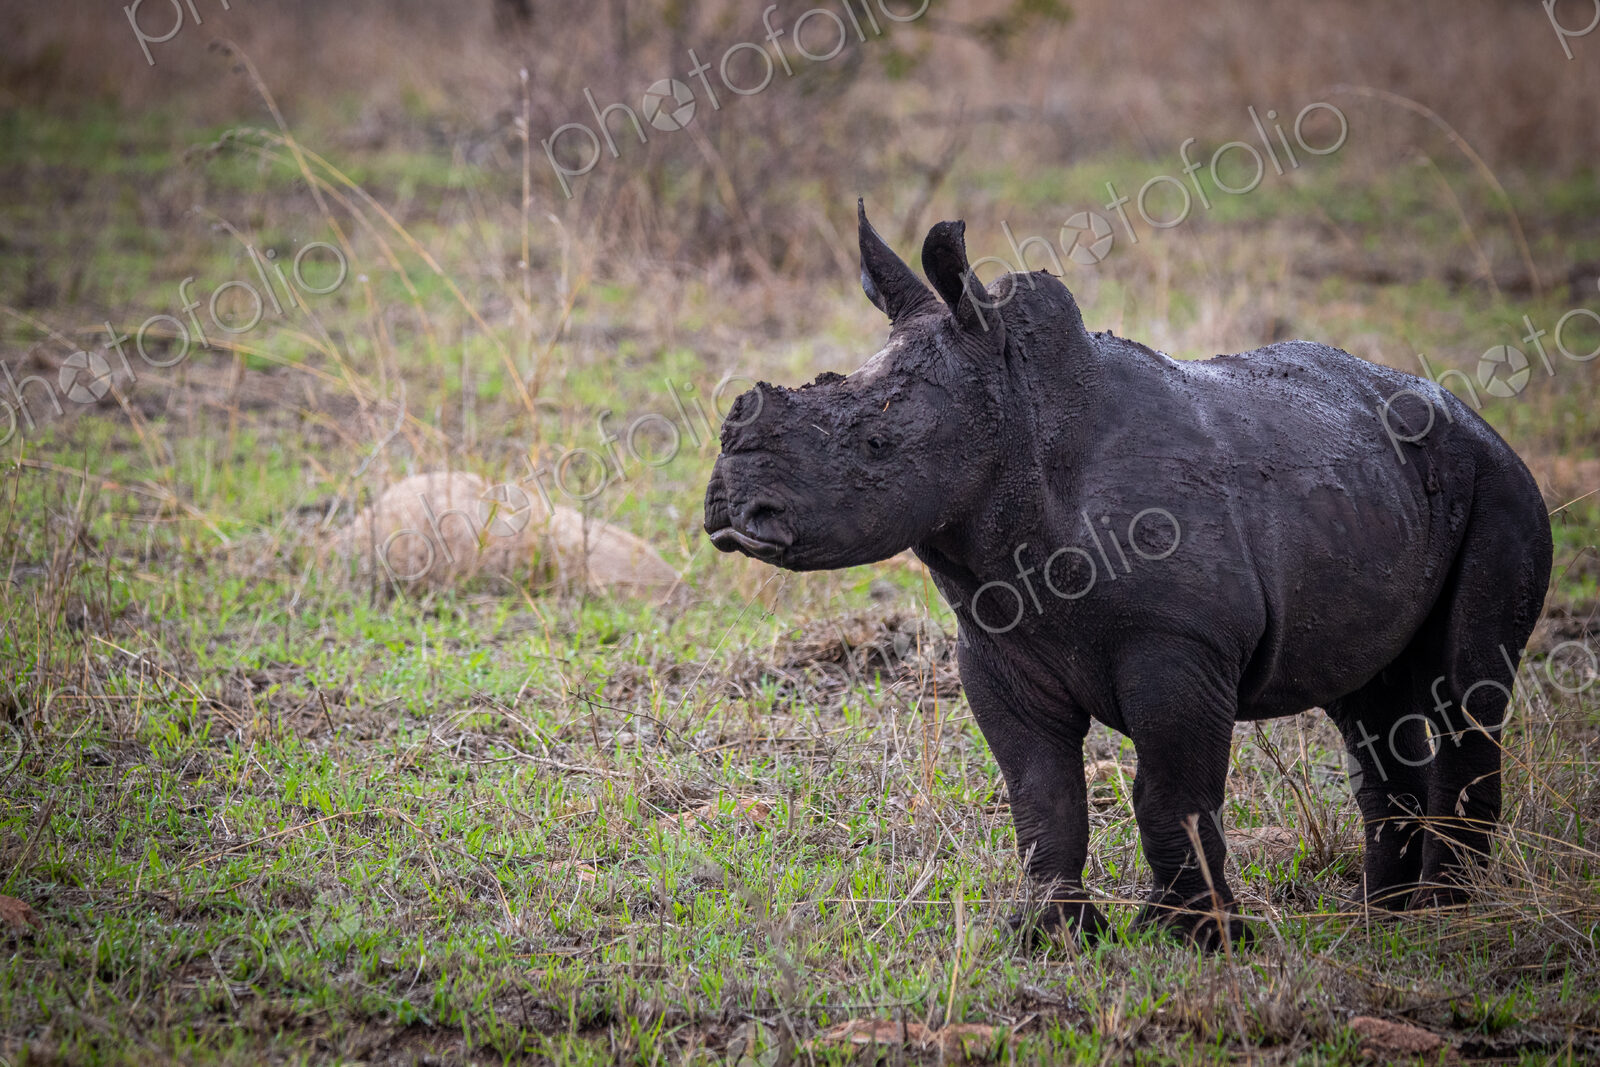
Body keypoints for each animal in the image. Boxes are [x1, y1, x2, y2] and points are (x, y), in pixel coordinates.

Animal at [703, 202, 1552, 947]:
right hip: (1378, 486)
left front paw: (1197, 938)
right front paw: (1050, 937)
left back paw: (1448, 915)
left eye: (876, 444)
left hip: (1501, 487)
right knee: (1369, 702)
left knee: (1466, 689)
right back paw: (1384, 916)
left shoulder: (1180, 643)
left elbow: (1169, 792)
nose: (733, 509)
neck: (1018, 422)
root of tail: (1486, 423)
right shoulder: (997, 643)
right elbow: (1042, 794)